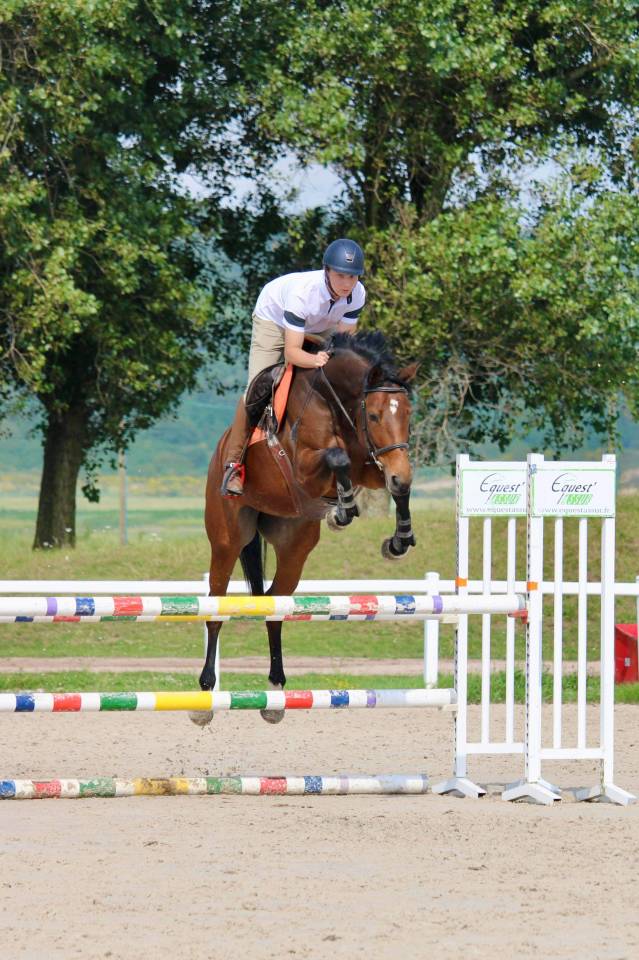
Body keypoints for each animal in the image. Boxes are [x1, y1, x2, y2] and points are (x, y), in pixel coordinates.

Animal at [195, 330, 418, 725]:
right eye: (374, 414)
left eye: (408, 414)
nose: (399, 472)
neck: (335, 402)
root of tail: (219, 454)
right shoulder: (303, 466)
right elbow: (337, 458)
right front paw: (343, 511)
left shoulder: (373, 463)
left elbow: (393, 485)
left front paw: (398, 540)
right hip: (227, 539)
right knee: (215, 609)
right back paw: (205, 699)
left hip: (294, 547)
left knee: (273, 606)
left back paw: (275, 693)